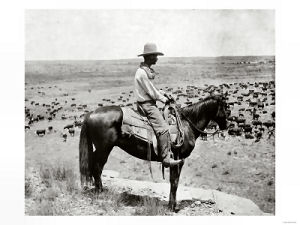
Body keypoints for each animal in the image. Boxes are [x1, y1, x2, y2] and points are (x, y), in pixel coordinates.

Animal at [78, 94, 229, 211]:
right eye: (224, 107)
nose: (226, 126)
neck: (186, 126)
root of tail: (91, 114)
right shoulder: (178, 160)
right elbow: (174, 182)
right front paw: (172, 207)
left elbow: (174, 181)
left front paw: (172, 205)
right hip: (104, 148)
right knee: (97, 167)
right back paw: (100, 192)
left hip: (100, 148)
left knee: (93, 166)